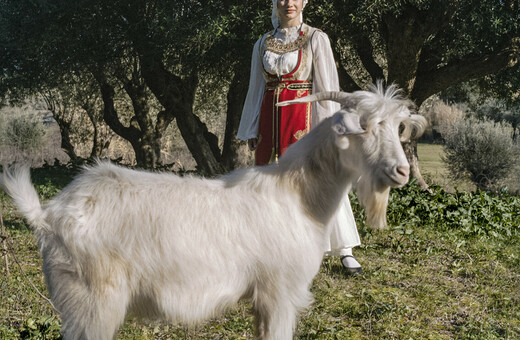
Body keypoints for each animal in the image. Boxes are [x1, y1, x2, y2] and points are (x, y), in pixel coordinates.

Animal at [1, 83, 426, 340]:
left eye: (398, 127)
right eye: (365, 127)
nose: (402, 172)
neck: (296, 196)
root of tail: (48, 216)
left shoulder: (264, 298)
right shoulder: (279, 291)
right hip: (92, 301)